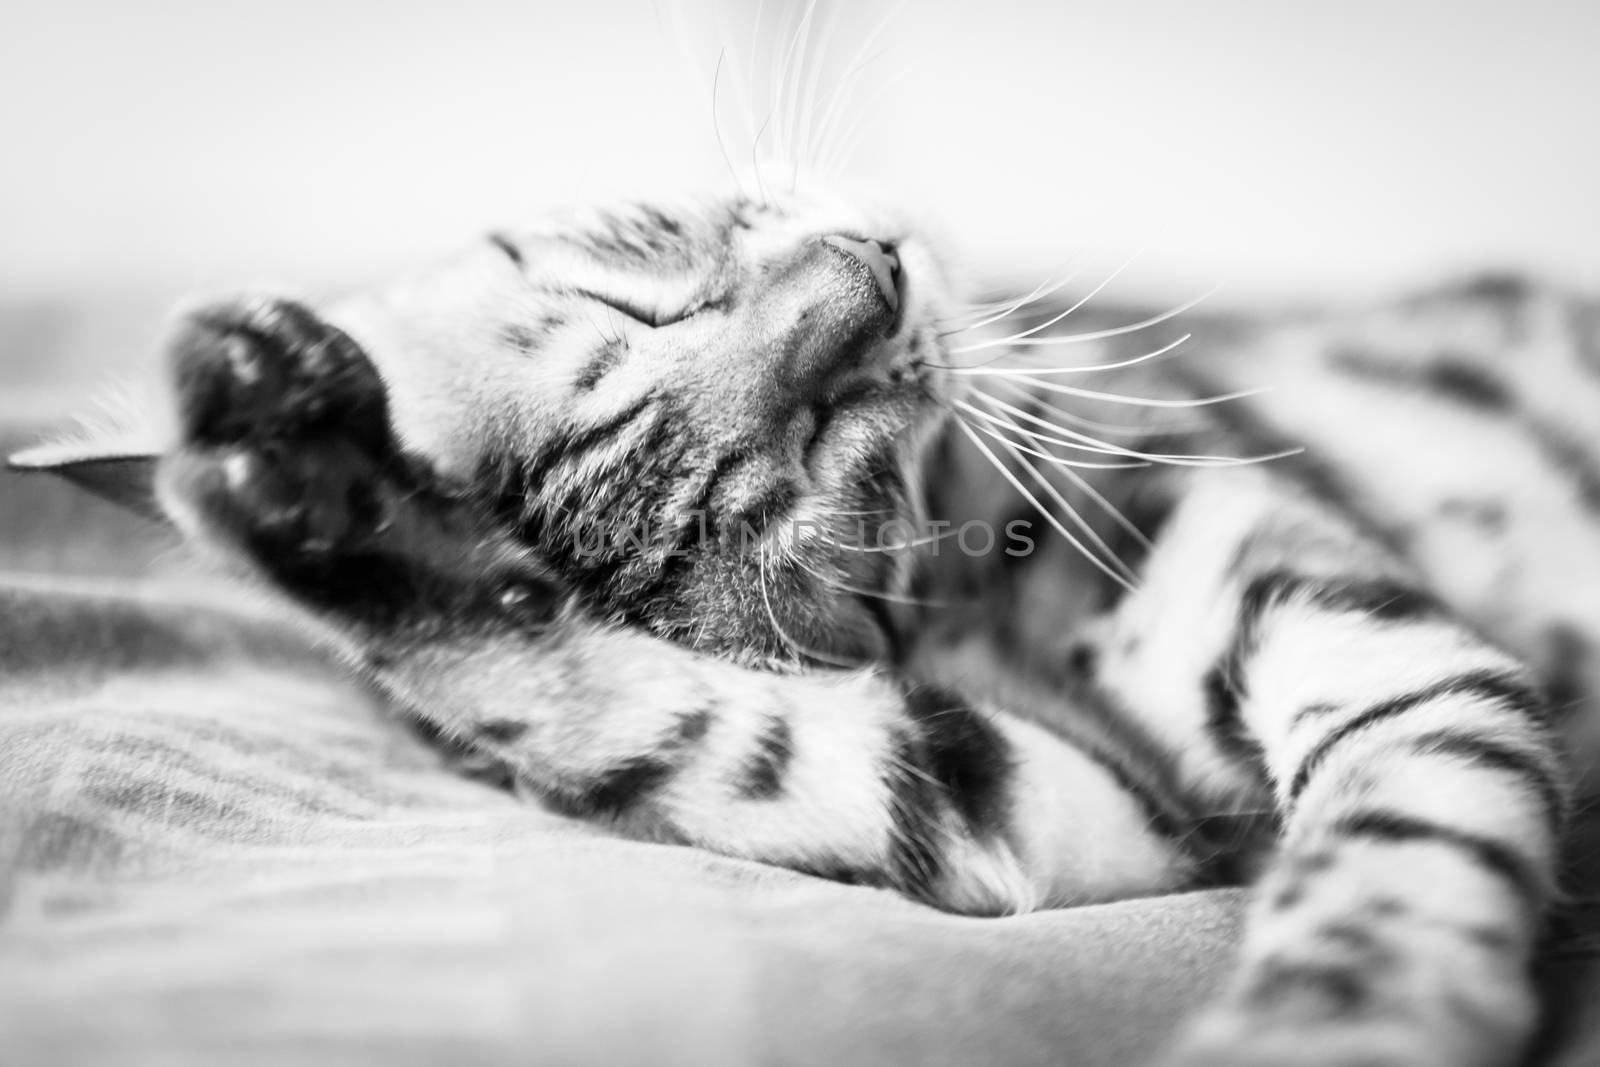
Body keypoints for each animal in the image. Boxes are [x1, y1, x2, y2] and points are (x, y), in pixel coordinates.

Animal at [15, 194, 1600, 1067]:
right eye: (803, 475)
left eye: (626, 297)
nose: (874, 278)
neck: (979, 584)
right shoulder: (1056, 811)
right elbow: (676, 729)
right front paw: (333, 508)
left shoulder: (1349, 631)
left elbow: (1391, 865)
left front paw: (1338, 1020)